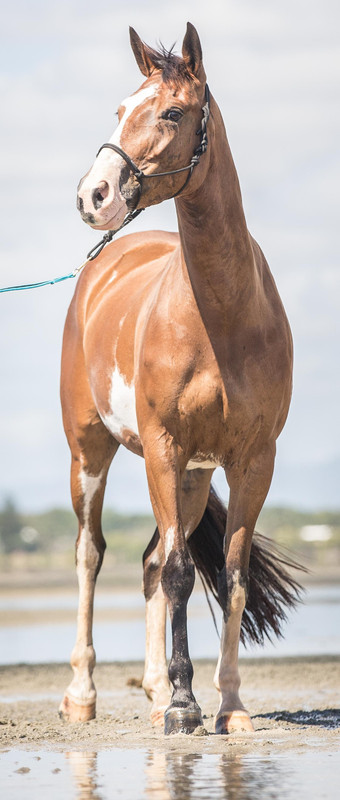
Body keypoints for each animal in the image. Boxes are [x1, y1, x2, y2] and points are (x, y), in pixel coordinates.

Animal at [58, 23, 298, 736]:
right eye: (119, 109)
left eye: (170, 112)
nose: (93, 195)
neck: (220, 314)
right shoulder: (163, 450)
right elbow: (182, 574)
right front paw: (187, 707)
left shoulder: (250, 460)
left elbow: (232, 574)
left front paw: (228, 705)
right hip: (92, 454)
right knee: (92, 554)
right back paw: (83, 694)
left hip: (191, 478)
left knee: (151, 562)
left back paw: (158, 688)